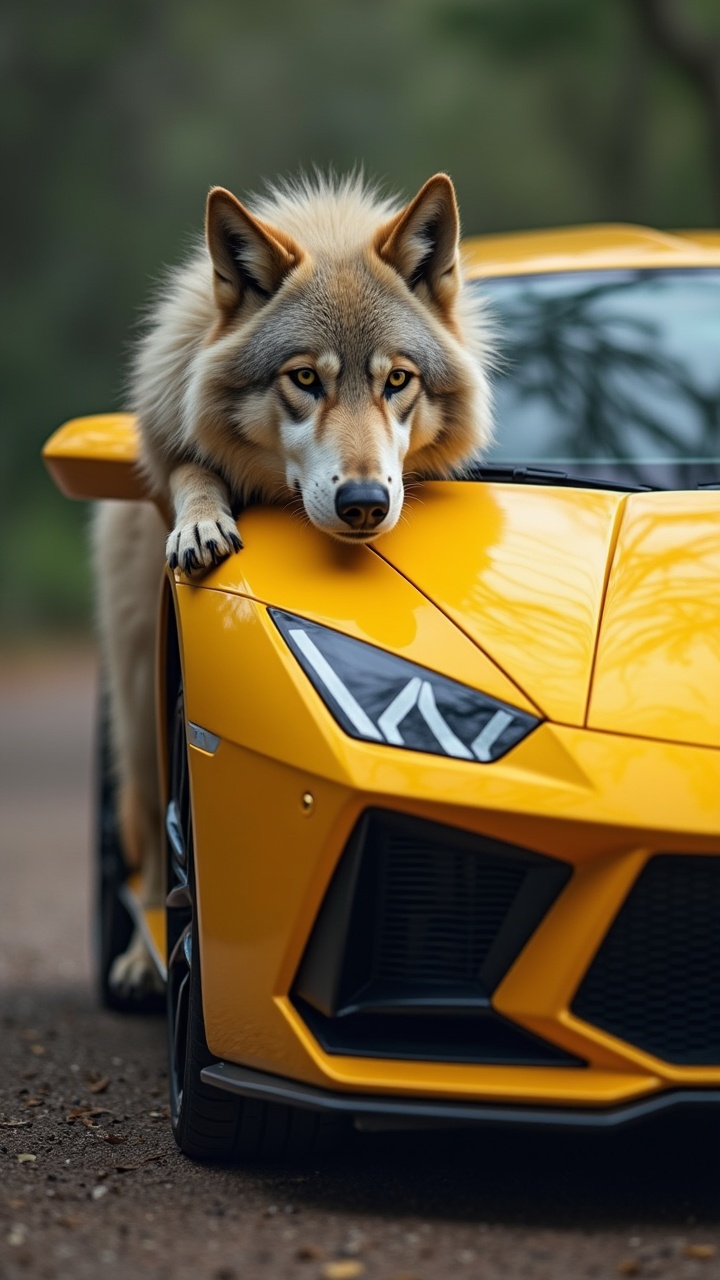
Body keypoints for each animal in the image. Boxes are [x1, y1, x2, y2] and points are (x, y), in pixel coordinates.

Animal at [94, 172, 493, 999]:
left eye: (397, 381)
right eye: (306, 379)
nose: (364, 502)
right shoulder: (179, 447)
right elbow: (193, 470)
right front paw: (202, 524)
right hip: (140, 693)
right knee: (143, 829)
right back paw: (140, 966)